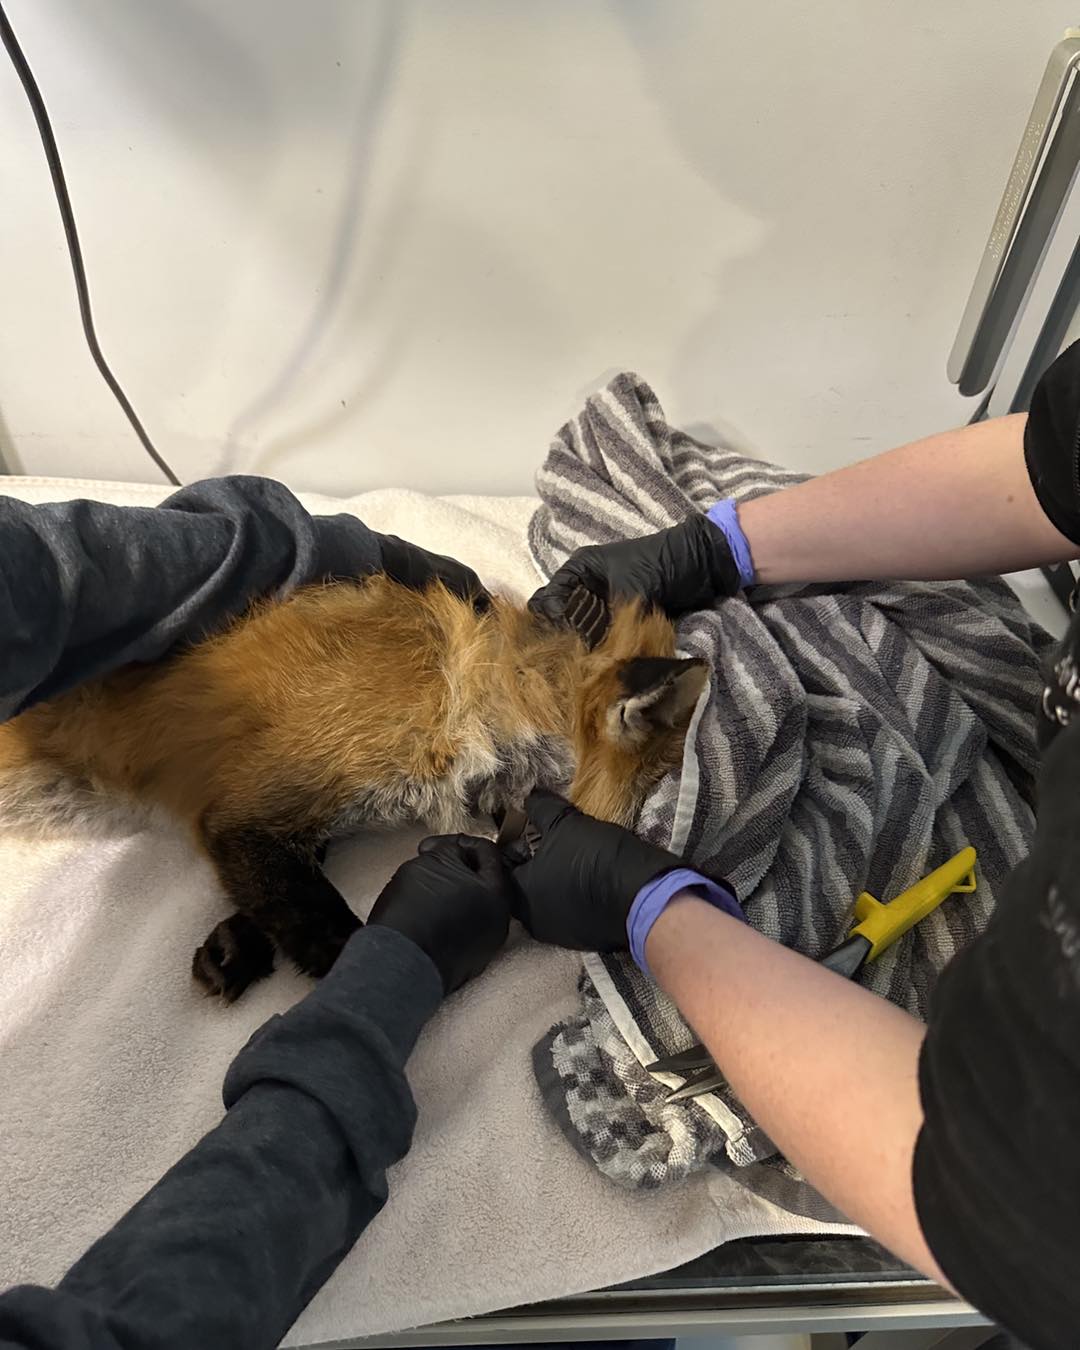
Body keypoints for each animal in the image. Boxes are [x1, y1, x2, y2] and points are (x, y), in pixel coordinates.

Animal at [0, 575, 706, 1002]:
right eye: (652, 794)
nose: (700, 876)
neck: (463, 691)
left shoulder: (293, 824)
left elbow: (278, 893)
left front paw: (234, 947)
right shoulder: (253, 812)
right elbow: (329, 923)